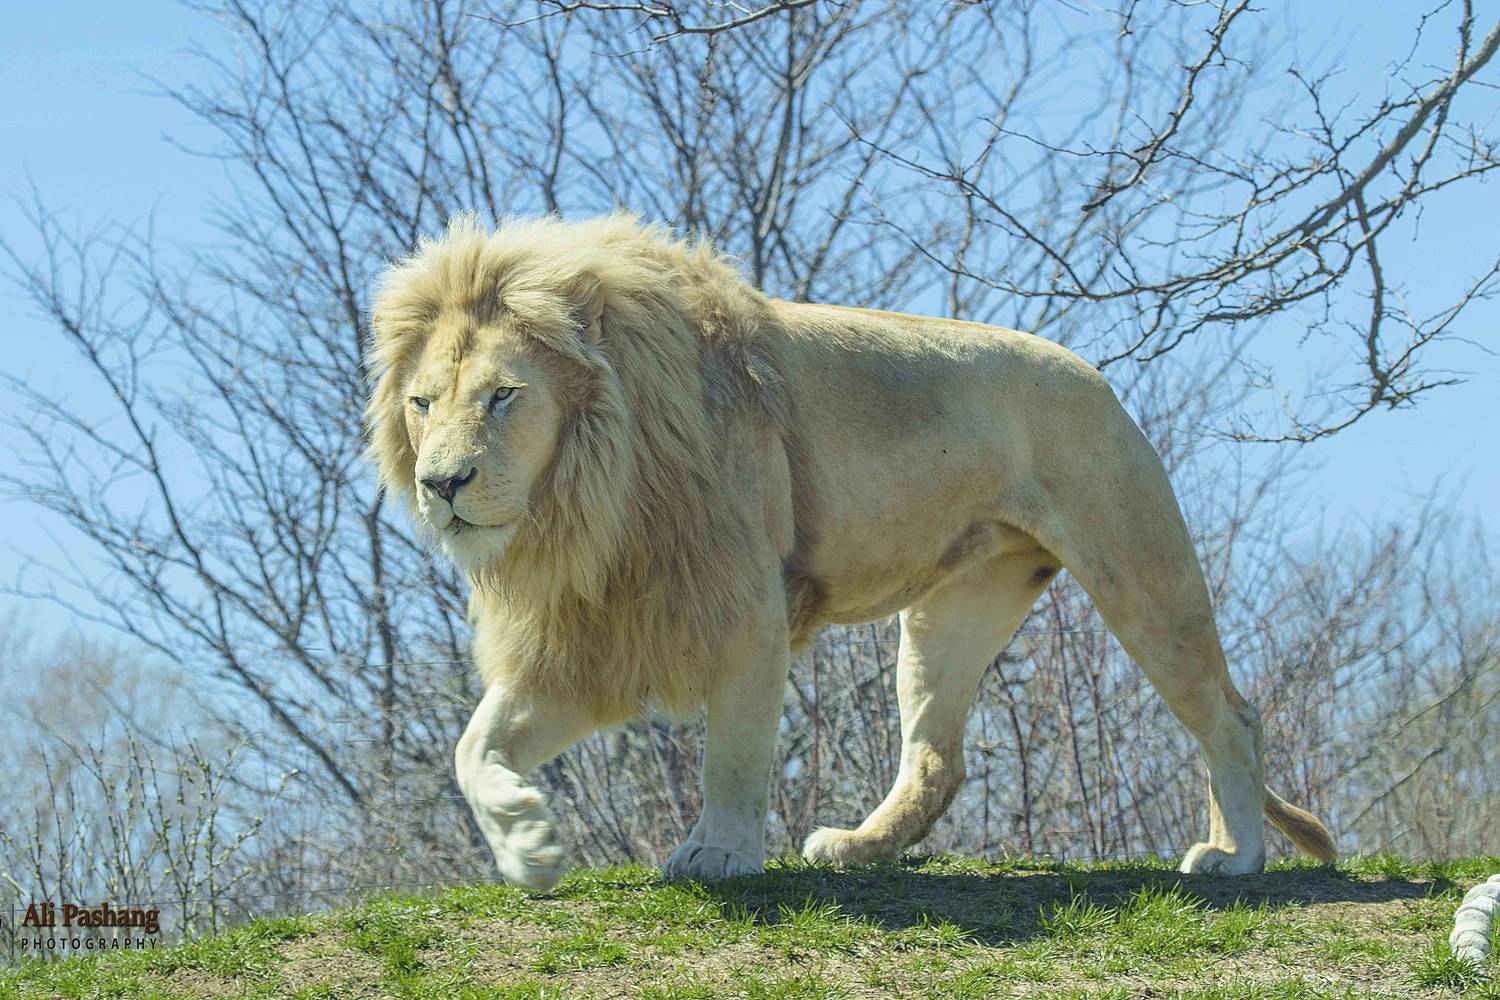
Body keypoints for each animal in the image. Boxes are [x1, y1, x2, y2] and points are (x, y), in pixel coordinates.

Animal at [365, 213, 1336, 890]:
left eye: (502, 397)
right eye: (422, 403)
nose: (443, 483)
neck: (587, 503)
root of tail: (1095, 374)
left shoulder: (744, 610)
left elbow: (735, 750)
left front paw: (718, 854)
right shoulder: (590, 640)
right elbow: (472, 749)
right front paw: (529, 845)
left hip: (1139, 568)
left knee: (1230, 715)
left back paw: (1236, 857)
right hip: (950, 614)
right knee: (940, 760)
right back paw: (858, 849)